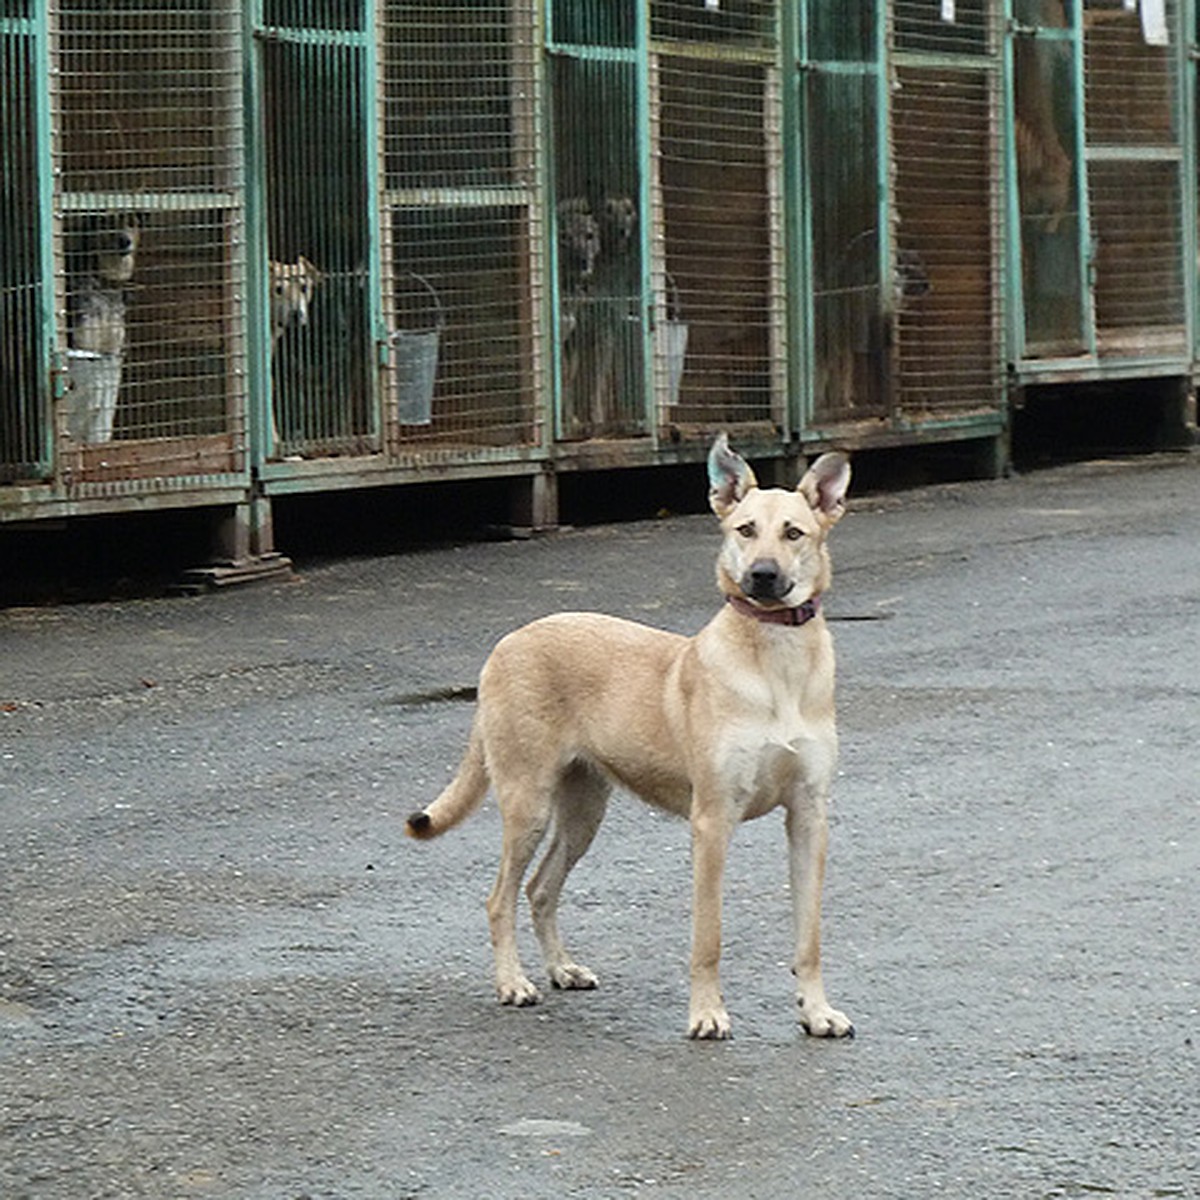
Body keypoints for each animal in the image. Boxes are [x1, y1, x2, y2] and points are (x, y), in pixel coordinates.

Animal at [410, 434, 854, 1041]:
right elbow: (708, 937)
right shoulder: (712, 822)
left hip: (582, 811)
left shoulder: (810, 817)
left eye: (793, 533)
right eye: (744, 529)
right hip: (528, 804)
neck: (775, 663)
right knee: (499, 897)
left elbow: (809, 937)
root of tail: (510, 639)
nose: (762, 576)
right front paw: (707, 1014)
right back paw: (513, 983)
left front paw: (816, 1011)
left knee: (539, 888)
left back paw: (562, 969)